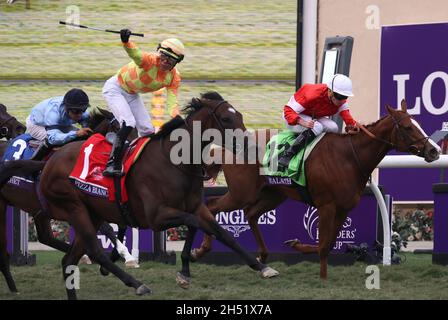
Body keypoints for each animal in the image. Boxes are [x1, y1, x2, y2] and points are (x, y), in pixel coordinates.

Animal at [191, 100, 440, 278]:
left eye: (418, 124)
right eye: (408, 127)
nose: (434, 151)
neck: (349, 157)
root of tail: (225, 147)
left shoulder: (343, 208)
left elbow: (327, 244)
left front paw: (296, 245)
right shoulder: (326, 206)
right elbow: (323, 245)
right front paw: (323, 277)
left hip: (273, 195)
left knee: (250, 214)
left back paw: (262, 257)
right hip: (242, 193)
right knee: (211, 206)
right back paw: (200, 250)